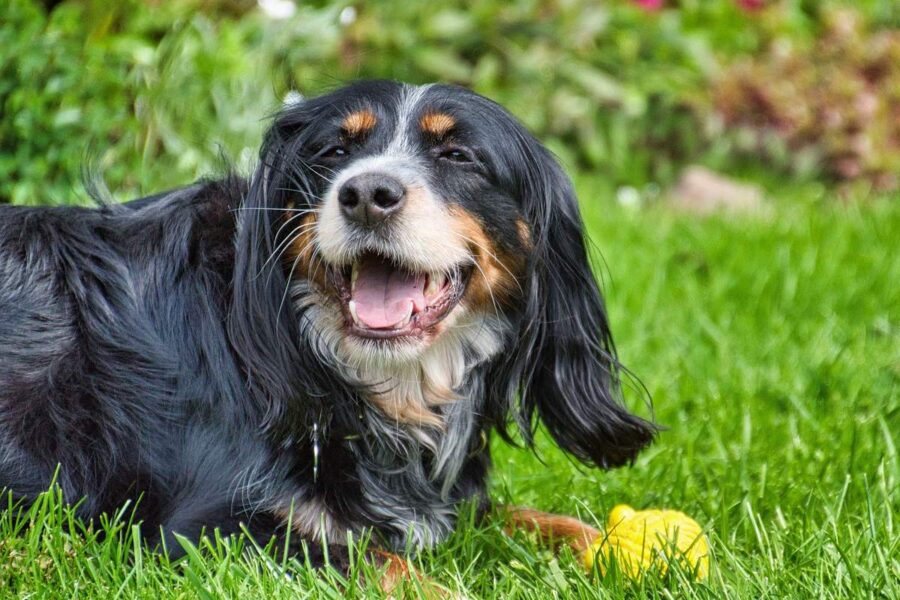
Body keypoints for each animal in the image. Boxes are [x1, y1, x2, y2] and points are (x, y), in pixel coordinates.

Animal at [0, 79, 652, 592]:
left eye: (459, 155)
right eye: (335, 150)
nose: (366, 194)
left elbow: (536, 517)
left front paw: (635, 547)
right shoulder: (204, 531)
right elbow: (385, 563)